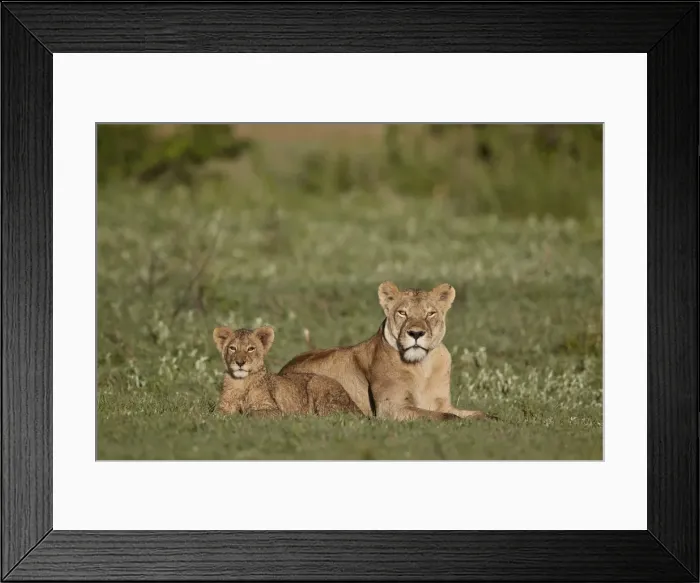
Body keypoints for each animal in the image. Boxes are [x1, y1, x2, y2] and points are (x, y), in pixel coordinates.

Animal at [212, 325, 362, 418]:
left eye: (251, 349)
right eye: (232, 348)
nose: (240, 363)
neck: (241, 383)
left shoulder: (274, 410)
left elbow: (251, 413)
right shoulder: (222, 407)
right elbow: (216, 414)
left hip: (317, 384)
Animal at [279, 281, 495, 422]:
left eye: (430, 313)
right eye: (402, 313)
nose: (416, 333)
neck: (422, 367)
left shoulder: (441, 403)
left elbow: (477, 413)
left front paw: (493, 419)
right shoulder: (391, 407)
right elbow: (446, 416)